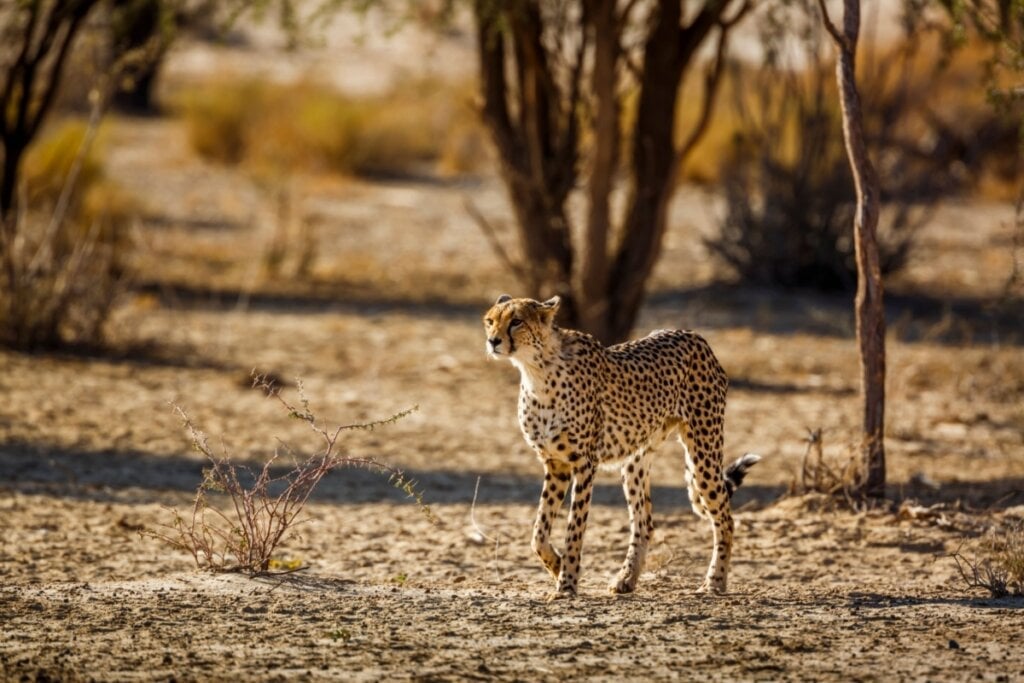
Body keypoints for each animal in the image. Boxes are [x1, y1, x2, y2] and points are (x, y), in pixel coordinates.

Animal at [481, 294, 761, 598]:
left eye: (516, 321)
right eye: (490, 320)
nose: (493, 341)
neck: (536, 370)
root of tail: (693, 334)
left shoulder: (584, 464)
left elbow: (574, 529)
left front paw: (567, 583)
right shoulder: (555, 464)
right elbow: (538, 533)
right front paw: (556, 567)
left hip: (703, 452)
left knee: (724, 517)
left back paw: (715, 581)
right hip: (635, 463)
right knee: (645, 522)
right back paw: (626, 578)